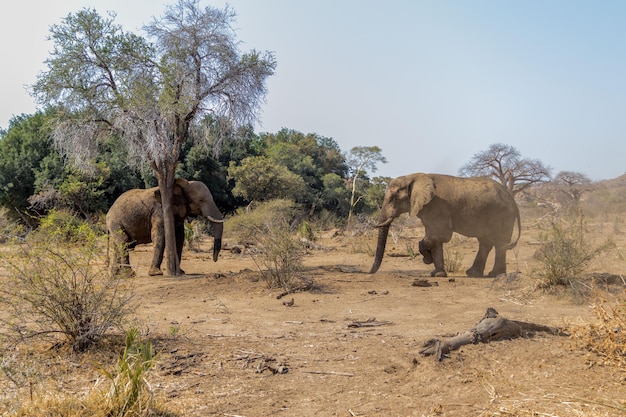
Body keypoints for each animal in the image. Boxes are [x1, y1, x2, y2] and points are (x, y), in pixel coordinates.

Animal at [368, 172, 520, 276]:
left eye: (393, 199)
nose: (369, 272)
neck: (414, 177)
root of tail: (512, 198)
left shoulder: (437, 206)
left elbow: (439, 236)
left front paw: (428, 261)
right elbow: (435, 237)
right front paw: (437, 274)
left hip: (503, 214)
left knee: (500, 242)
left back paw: (494, 274)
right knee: (486, 242)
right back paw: (474, 274)